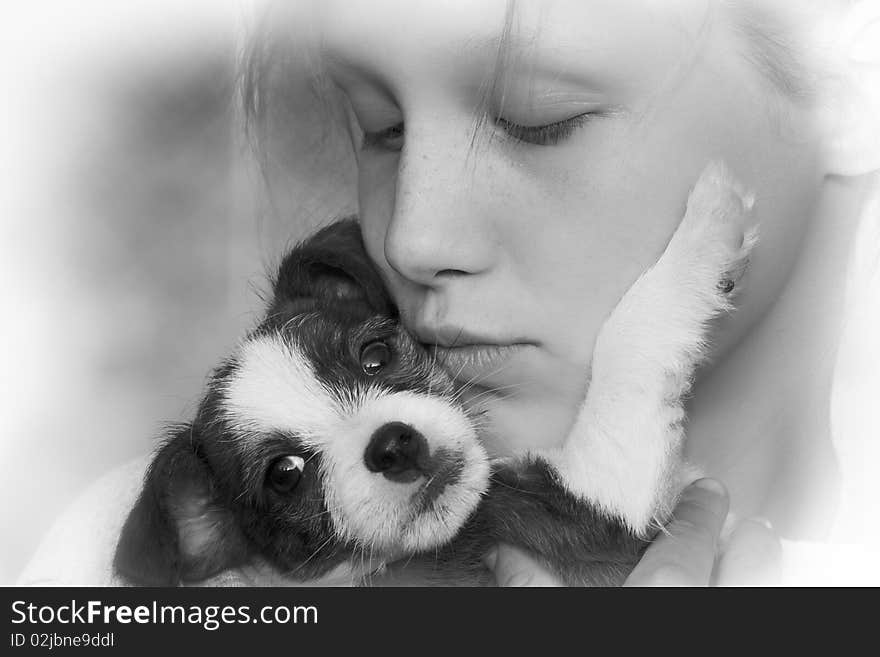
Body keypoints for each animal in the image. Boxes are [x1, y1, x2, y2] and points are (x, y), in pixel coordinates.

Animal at [111, 163, 756, 584]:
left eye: (375, 355)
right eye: (285, 474)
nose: (394, 444)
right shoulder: (599, 503)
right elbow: (633, 328)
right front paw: (711, 214)